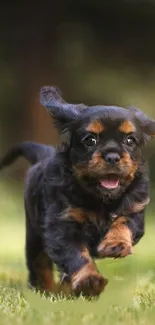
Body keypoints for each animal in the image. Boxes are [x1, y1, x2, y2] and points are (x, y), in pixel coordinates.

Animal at [0, 85, 154, 296]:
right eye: (90, 140)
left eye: (130, 140)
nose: (113, 157)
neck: (101, 199)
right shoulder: (62, 224)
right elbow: (76, 255)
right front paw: (90, 280)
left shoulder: (135, 210)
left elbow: (123, 223)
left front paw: (116, 244)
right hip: (34, 233)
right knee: (39, 264)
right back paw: (46, 290)